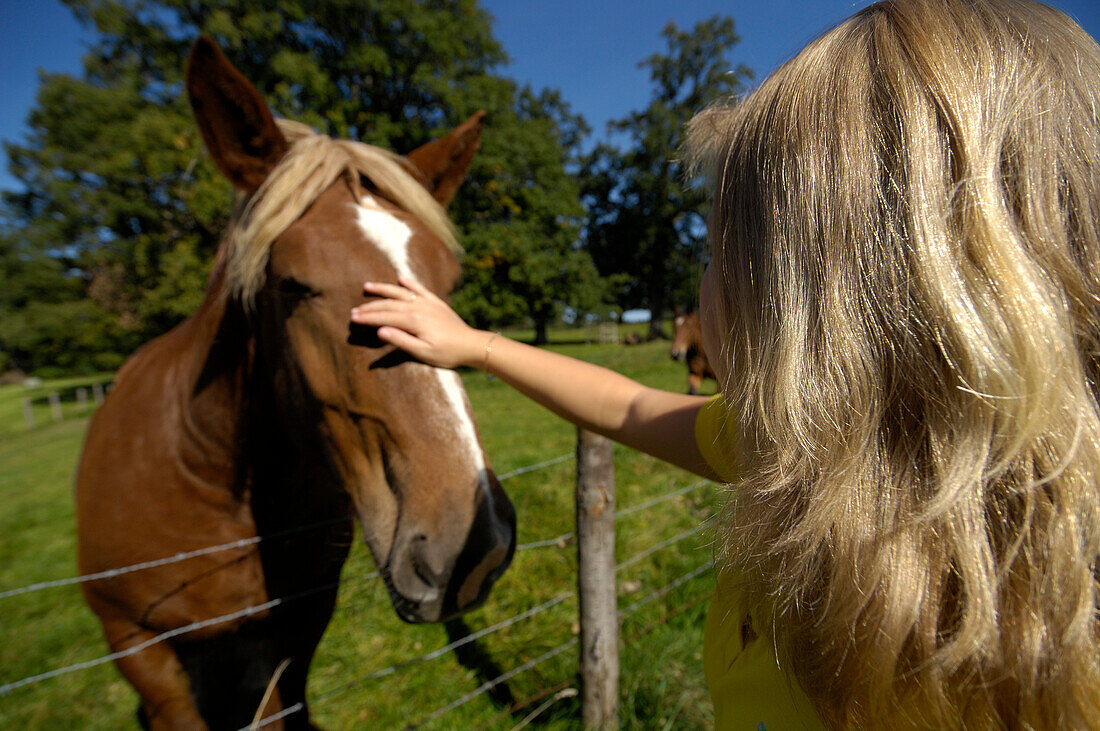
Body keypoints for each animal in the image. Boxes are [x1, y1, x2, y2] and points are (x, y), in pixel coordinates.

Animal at [77, 39, 514, 729]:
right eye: (291, 285)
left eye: (448, 284)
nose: (475, 546)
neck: (203, 476)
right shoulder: (138, 647)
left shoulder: (299, 627)